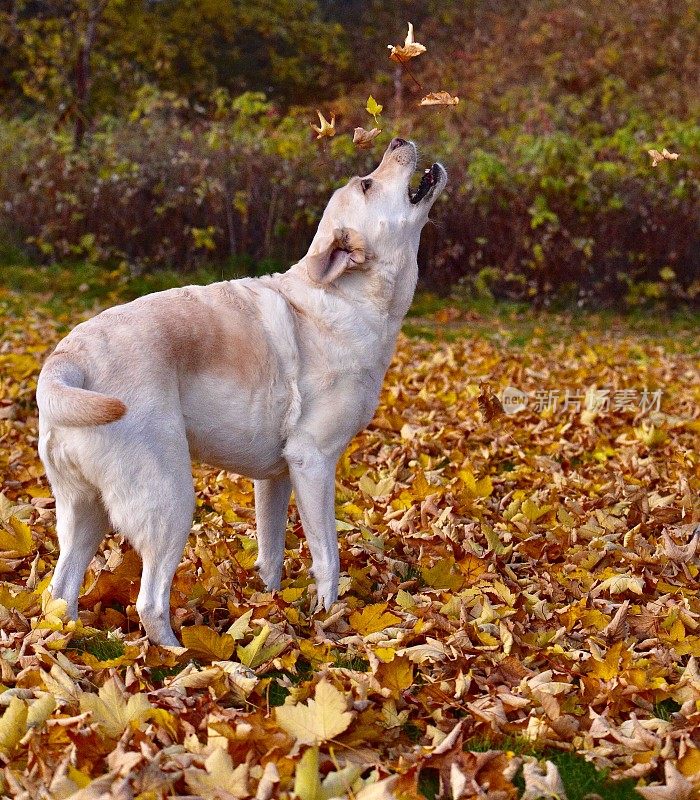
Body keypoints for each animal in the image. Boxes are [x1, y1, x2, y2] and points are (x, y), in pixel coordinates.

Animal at [35, 141, 446, 648]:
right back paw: (179, 656)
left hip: (86, 513)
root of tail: (69, 357)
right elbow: (328, 558)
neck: (347, 299)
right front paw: (328, 625)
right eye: (367, 184)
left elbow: (270, 557)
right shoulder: (313, 463)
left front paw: (270, 613)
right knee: (149, 602)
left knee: (60, 591)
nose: (397, 143)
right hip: (170, 502)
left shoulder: (276, 478)